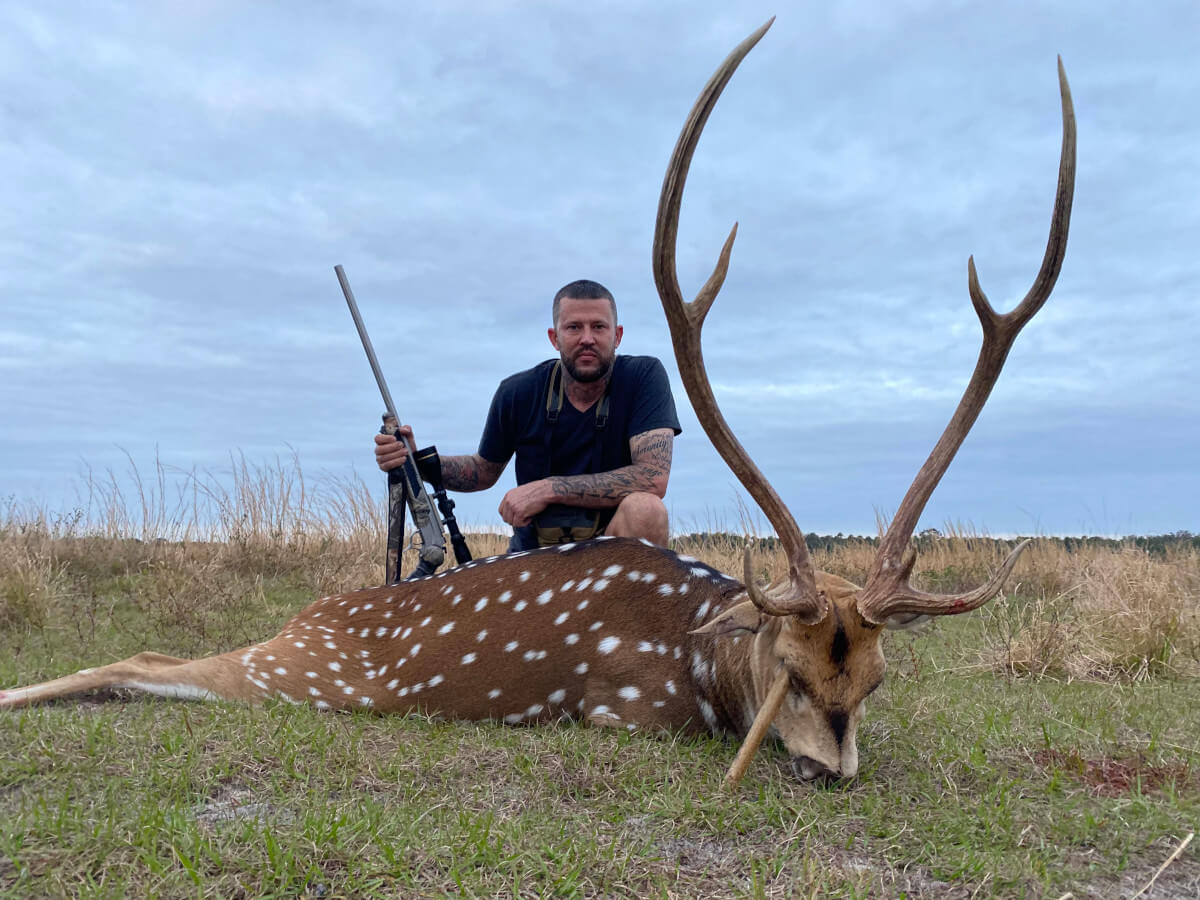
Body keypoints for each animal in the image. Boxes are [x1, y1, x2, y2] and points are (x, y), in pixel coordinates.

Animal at [0, 18, 1075, 786]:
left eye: (879, 678)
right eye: (794, 672)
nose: (830, 770)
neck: (700, 659)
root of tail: (313, 613)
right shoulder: (625, 710)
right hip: (300, 675)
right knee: (140, 658)